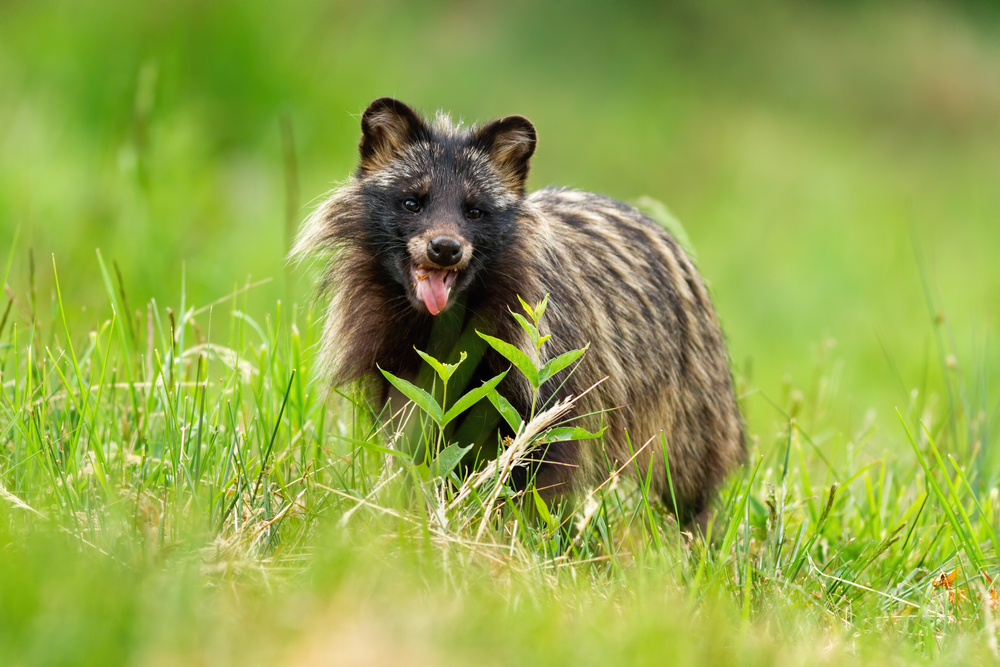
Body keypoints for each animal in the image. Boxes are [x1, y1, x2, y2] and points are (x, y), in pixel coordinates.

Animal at [294, 99, 744, 528]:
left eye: (474, 210)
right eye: (412, 202)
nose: (445, 248)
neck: (440, 322)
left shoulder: (554, 368)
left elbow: (545, 463)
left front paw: (520, 529)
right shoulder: (396, 360)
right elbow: (413, 436)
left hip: (688, 394)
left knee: (685, 468)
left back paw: (696, 529)